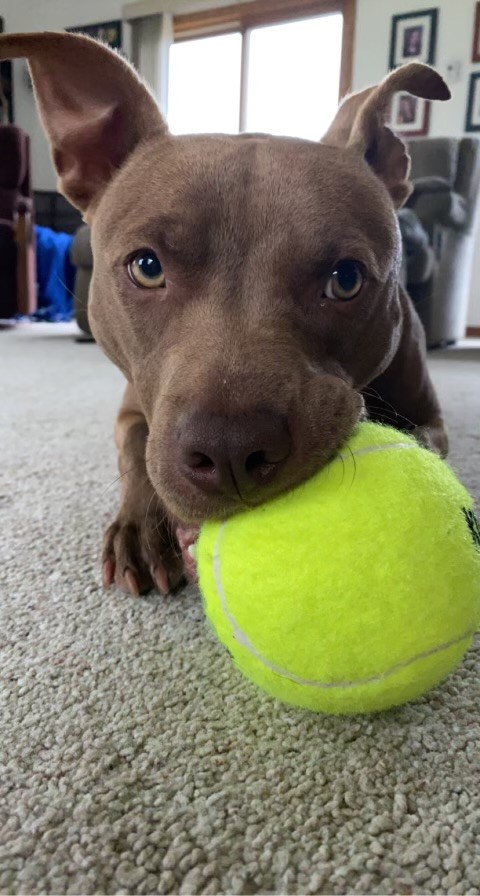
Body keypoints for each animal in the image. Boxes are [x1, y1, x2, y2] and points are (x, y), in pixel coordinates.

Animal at [0, 33, 450, 596]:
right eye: (147, 267)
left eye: (345, 279)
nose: (231, 450)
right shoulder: (133, 407)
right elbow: (137, 450)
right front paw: (141, 527)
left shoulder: (430, 419)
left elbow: (424, 443)